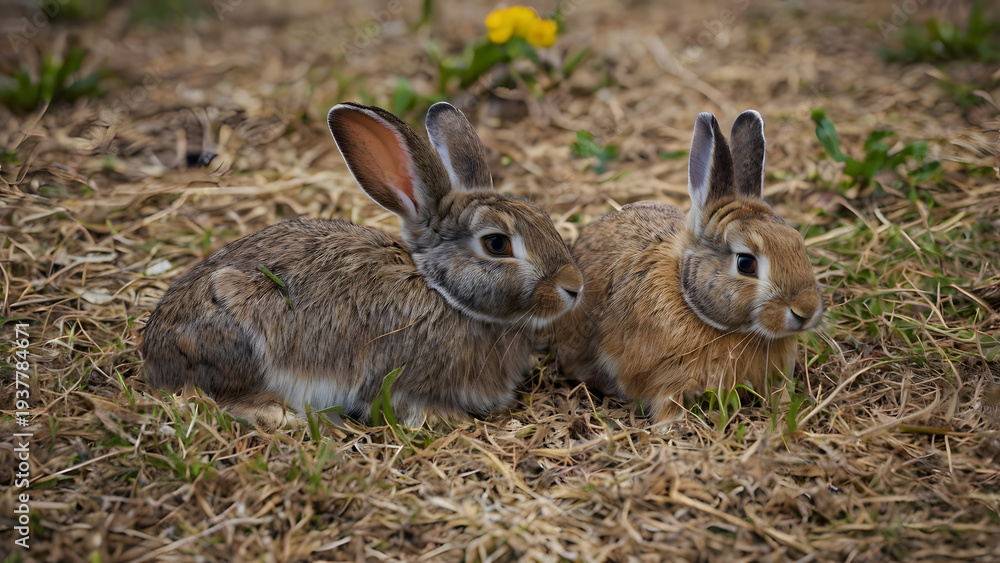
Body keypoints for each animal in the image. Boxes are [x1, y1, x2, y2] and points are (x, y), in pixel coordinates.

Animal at [556, 110, 824, 423]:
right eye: (745, 263)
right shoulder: (664, 380)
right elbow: (666, 403)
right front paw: (669, 426)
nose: (806, 311)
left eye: (797, 242)